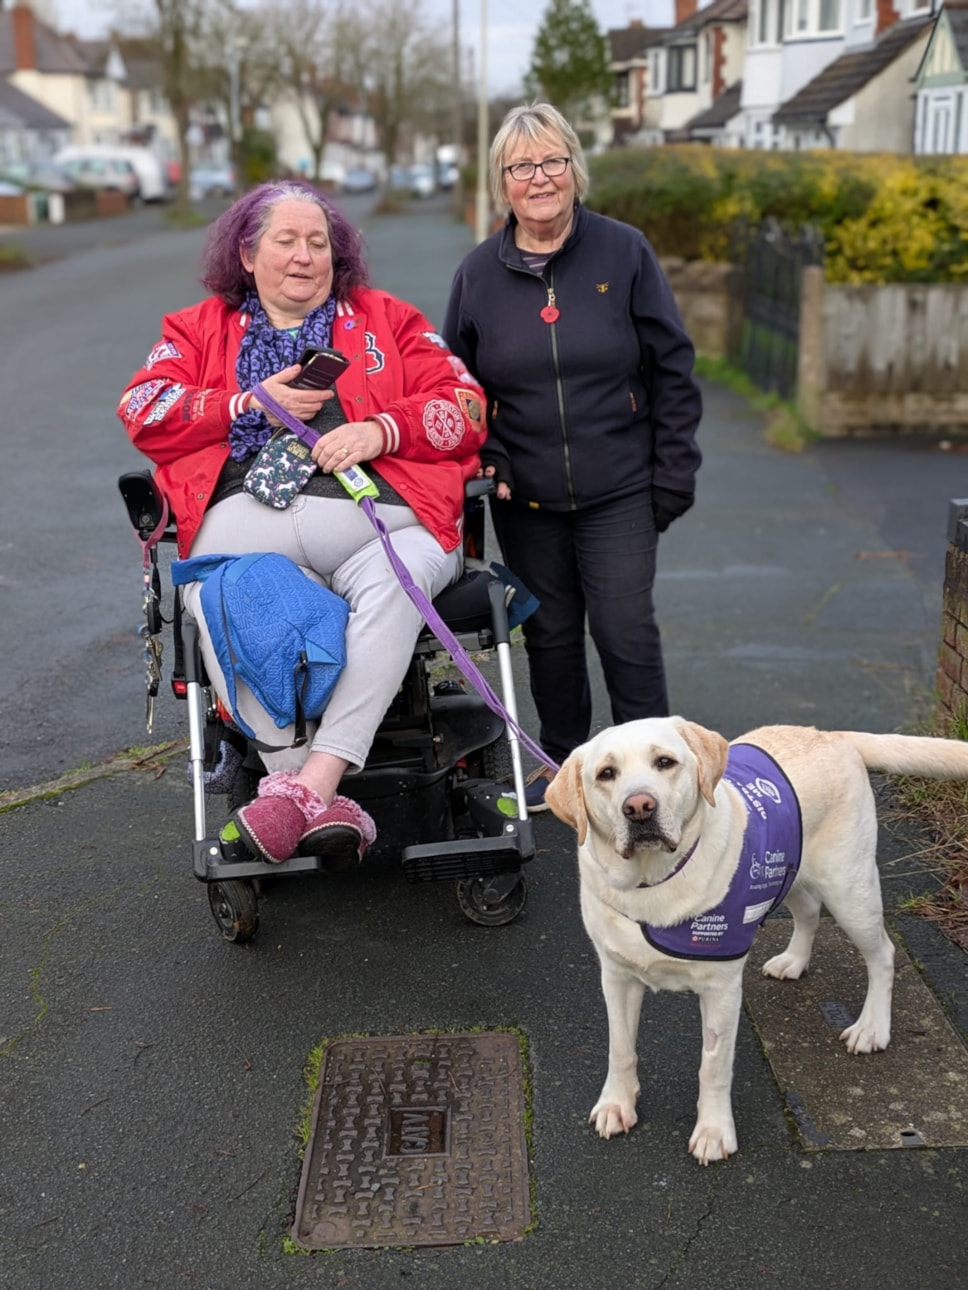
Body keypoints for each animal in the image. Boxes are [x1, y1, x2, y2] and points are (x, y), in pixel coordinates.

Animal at [547, 717, 968, 1171]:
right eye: (606, 773)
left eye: (665, 762)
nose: (640, 807)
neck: (651, 882)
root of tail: (830, 735)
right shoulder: (617, 977)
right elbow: (620, 1048)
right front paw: (617, 1104)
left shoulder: (721, 990)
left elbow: (713, 1067)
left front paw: (714, 1132)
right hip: (791, 871)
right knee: (809, 912)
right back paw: (794, 961)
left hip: (850, 891)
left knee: (883, 955)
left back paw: (872, 1027)